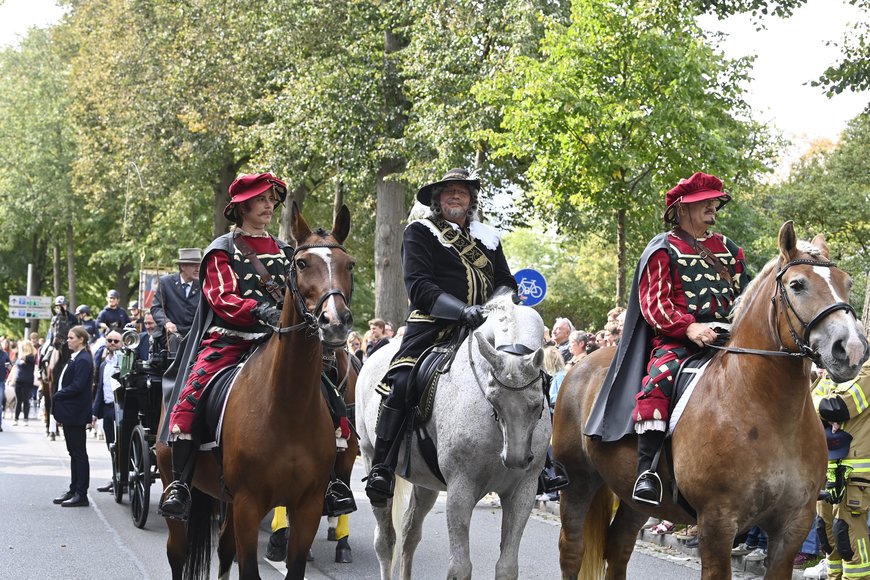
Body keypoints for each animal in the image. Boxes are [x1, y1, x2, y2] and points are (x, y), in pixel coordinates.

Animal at [158, 204, 358, 580]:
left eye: (349, 264)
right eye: (302, 263)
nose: (335, 323)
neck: (288, 407)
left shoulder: (307, 506)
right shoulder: (249, 505)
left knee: (224, 550)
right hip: (173, 480)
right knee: (177, 552)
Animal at [362, 294, 552, 580]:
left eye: (537, 402)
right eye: (493, 397)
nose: (516, 459)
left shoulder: (523, 492)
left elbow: (507, 567)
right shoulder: (460, 490)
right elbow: (460, 567)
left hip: (425, 481)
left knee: (409, 533)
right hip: (370, 457)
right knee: (385, 540)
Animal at [556, 222, 870, 580]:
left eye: (847, 283)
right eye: (797, 284)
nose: (852, 349)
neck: (767, 411)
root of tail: (581, 365)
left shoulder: (792, 526)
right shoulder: (717, 523)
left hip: (635, 499)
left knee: (618, 546)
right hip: (577, 481)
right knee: (572, 550)